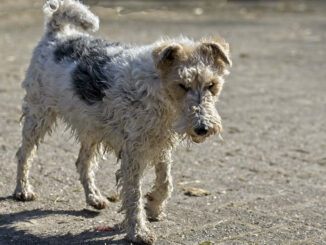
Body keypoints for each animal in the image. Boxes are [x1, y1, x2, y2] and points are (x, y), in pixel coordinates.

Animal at [13, 0, 232, 244]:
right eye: (182, 85)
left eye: (212, 85)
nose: (203, 128)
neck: (157, 90)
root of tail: (58, 34)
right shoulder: (134, 152)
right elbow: (134, 194)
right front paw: (139, 231)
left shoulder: (159, 141)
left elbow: (165, 182)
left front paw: (154, 206)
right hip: (38, 114)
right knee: (24, 153)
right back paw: (23, 190)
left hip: (91, 127)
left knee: (82, 163)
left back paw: (94, 198)